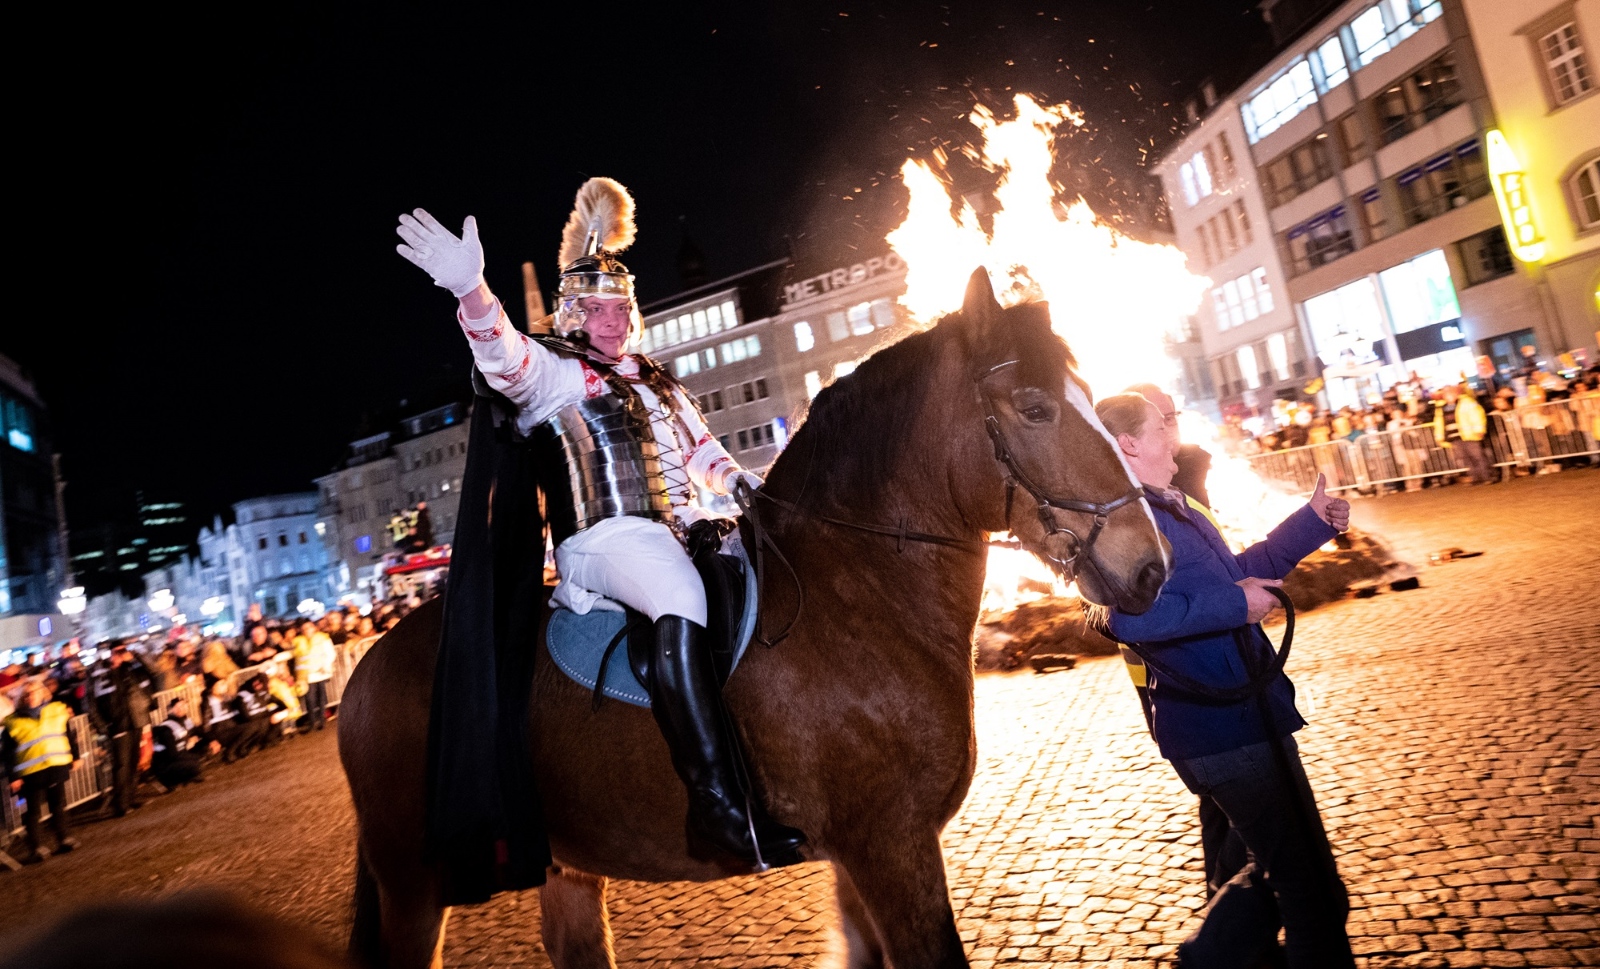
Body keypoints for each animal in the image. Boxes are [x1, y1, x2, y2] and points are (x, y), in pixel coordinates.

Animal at [340, 271, 1164, 969]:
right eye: (1035, 407)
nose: (1150, 567)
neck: (857, 594)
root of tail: (364, 671)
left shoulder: (860, 858)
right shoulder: (892, 846)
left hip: (562, 867)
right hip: (414, 884)